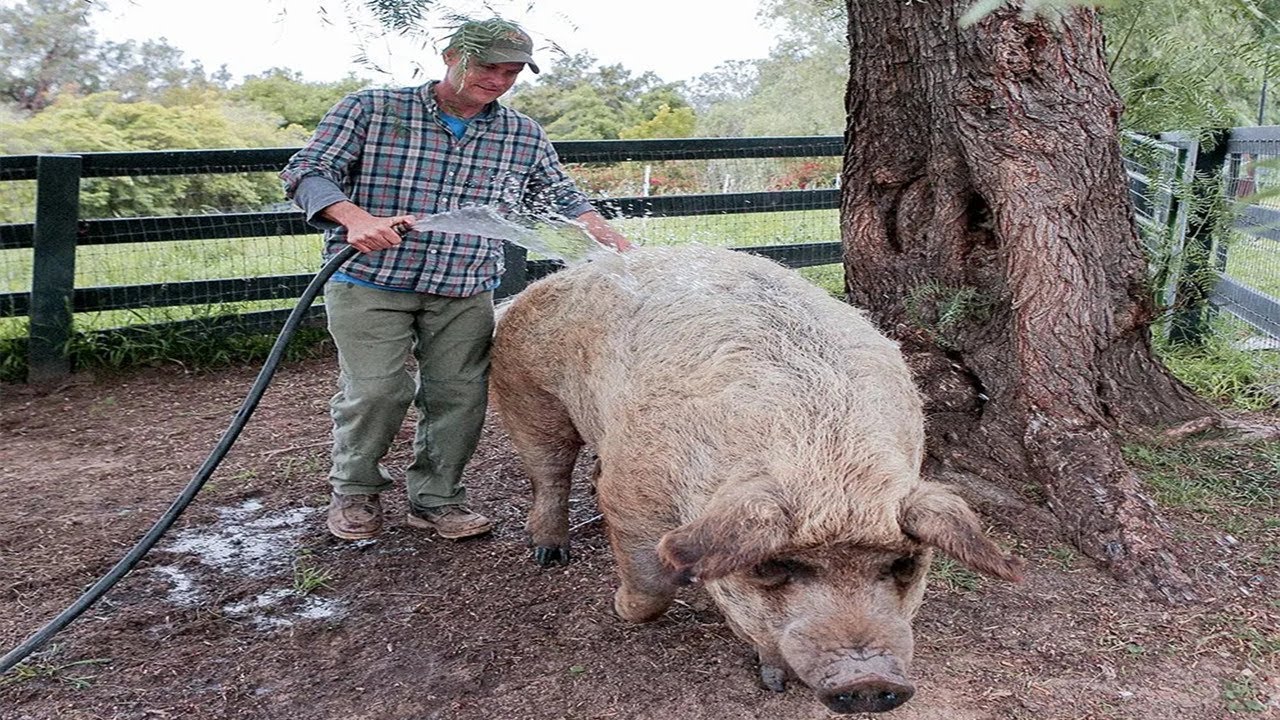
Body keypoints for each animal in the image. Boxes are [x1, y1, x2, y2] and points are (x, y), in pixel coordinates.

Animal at [486, 244, 1018, 712]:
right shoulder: (634, 496)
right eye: (772, 565)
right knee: (550, 472)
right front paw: (621, 608)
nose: (867, 680)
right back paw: (550, 554)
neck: (828, 469)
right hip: (527, 392)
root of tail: (545, 281)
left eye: (906, 564)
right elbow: (650, 581)